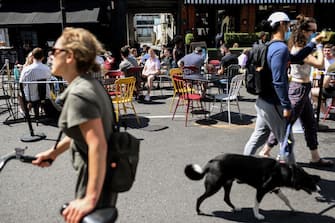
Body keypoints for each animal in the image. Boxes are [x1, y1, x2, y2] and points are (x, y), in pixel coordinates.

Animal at [185, 153, 322, 220]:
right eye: (311, 182)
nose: (319, 189)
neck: (285, 171)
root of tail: (212, 161)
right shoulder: (261, 190)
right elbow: (256, 205)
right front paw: (257, 216)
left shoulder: (276, 189)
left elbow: (286, 200)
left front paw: (293, 209)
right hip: (215, 186)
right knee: (200, 198)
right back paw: (199, 211)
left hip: (228, 183)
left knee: (226, 198)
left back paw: (235, 208)